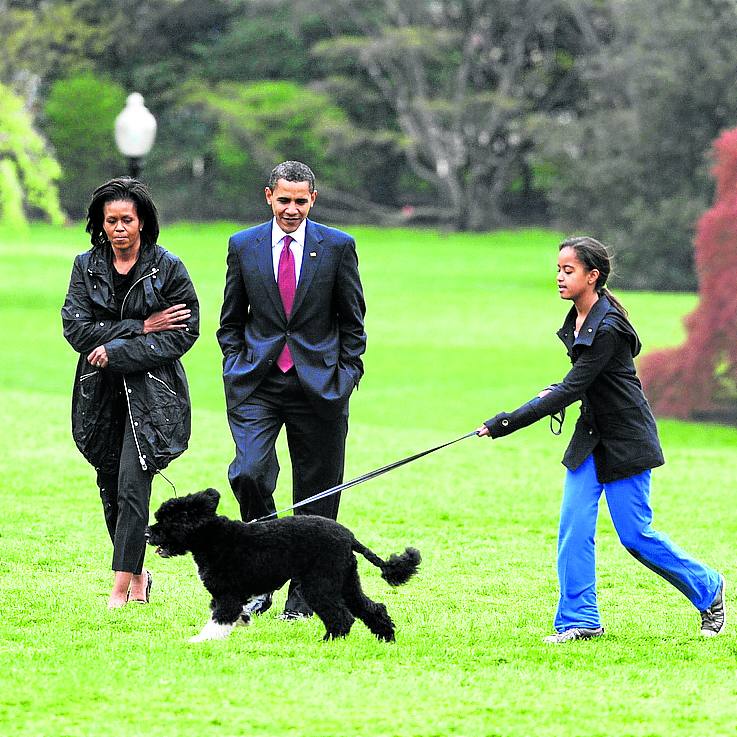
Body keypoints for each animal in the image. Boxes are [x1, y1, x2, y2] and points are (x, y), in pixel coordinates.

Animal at [145, 488, 420, 640]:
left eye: (167, 521)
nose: (148, 533)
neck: (211, 537)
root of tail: (350, 537)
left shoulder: (227, 593)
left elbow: (219, 619)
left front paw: (200, 640)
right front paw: (244, 619)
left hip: (318, 584)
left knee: (342, 617)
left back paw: (329, 641)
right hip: (345, 581)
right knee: (372, 608)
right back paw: (387, 637)